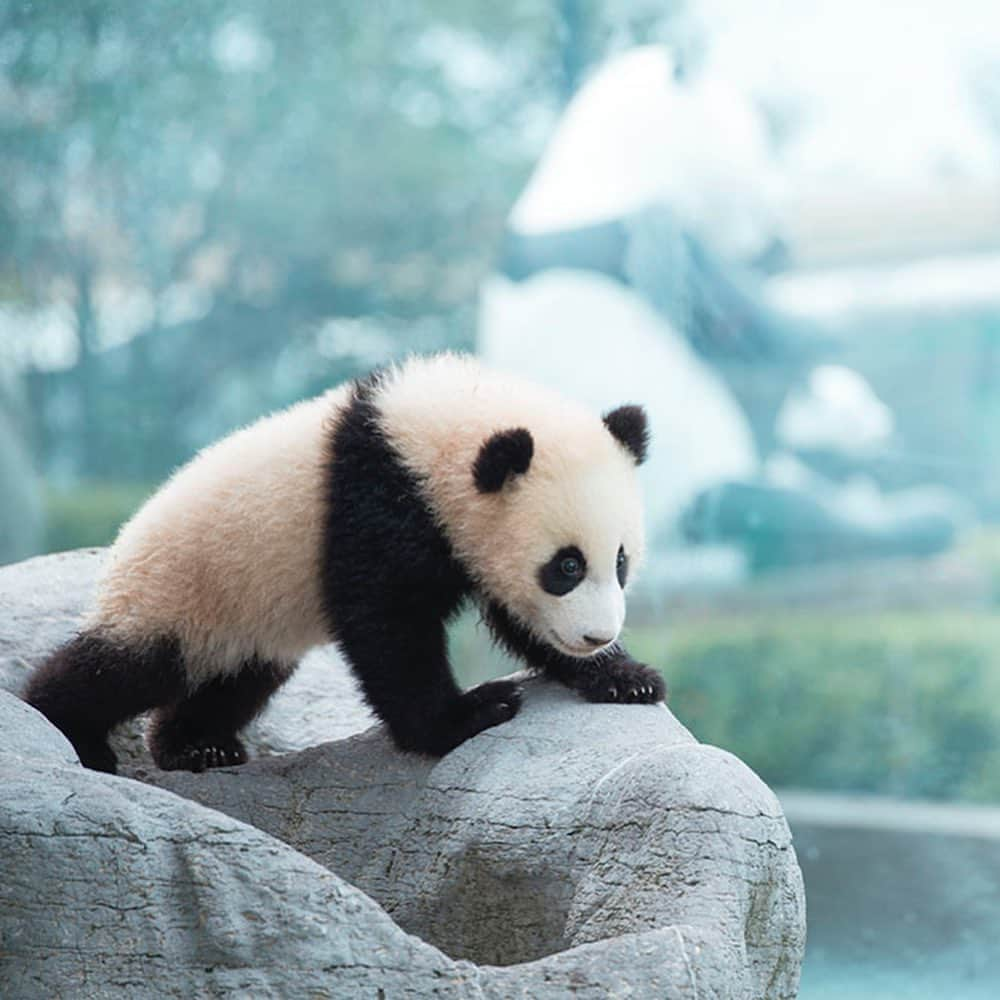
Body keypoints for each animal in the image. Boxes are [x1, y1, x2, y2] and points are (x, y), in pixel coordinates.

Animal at [25, 352, 664, 772]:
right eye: (565, 567)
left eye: (620, 561)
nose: (596, 635)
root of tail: (122, 547)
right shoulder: (375, 504)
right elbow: (388, 625)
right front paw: (466, 715)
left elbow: (515, 618)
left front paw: (624, 677)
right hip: (179, 589)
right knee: (123, 669)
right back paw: (69, 732)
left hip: (244, 624)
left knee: (236, 680)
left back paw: (194, 744)